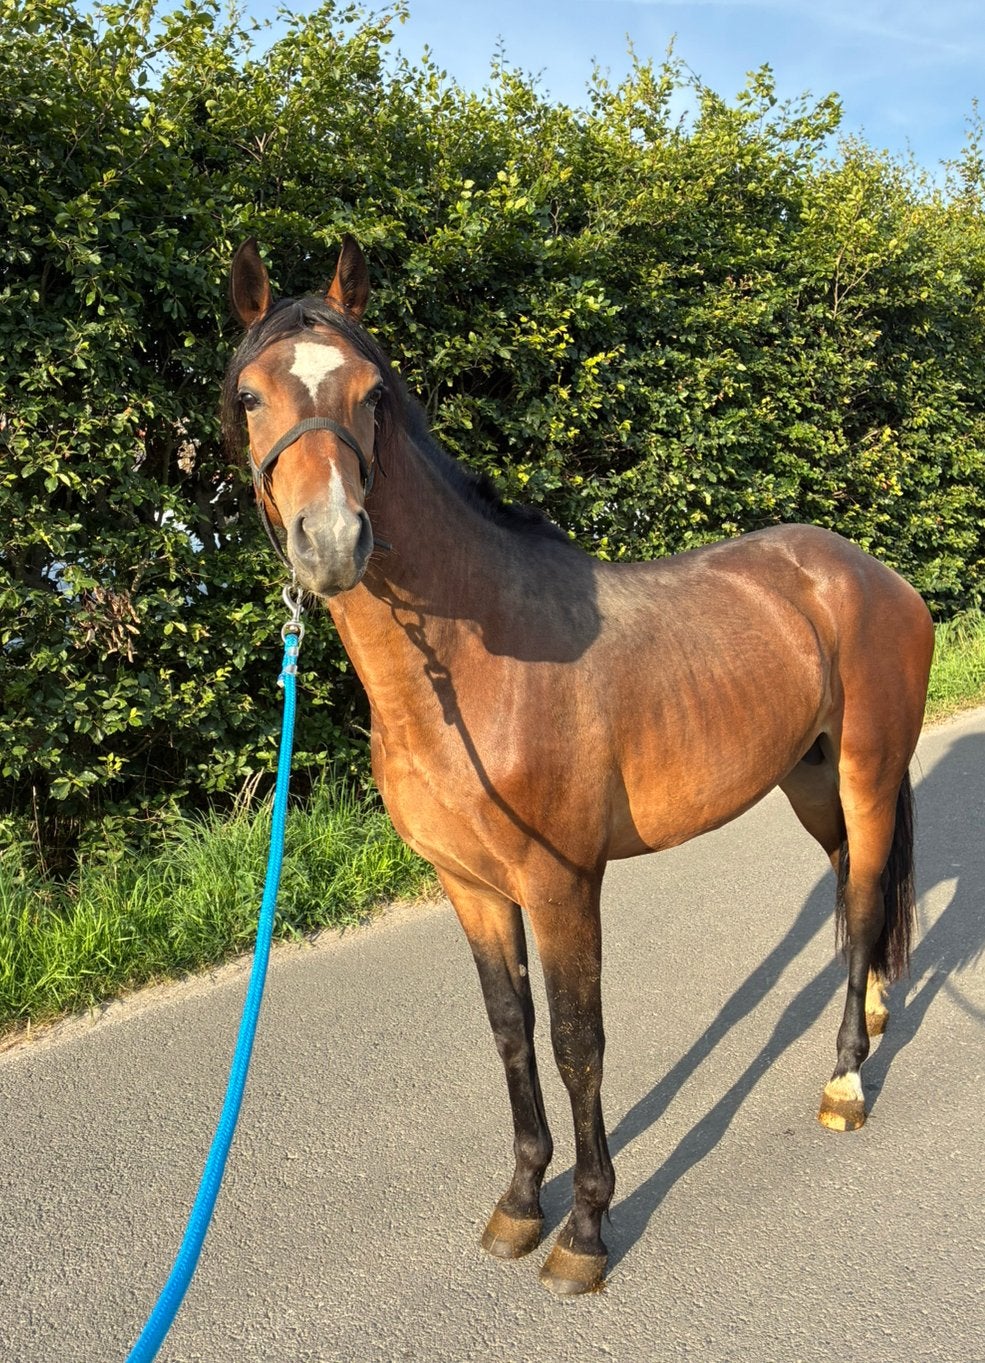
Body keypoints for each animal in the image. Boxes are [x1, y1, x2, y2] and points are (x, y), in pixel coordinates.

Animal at [223, 236, 935, 1296]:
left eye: (371, 394)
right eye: (250, 395)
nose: (333, 540)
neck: (478, 665)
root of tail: (871, 575)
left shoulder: (562, 883)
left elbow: (576, 1042)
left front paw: (587, 1228)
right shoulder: (471, 885)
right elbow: (509, 1033)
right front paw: (522, 1199)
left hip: (865, 770)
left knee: (861, 896)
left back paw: (846, 1077)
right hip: (807, 781)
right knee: (857, 883)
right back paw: (879, 1013)